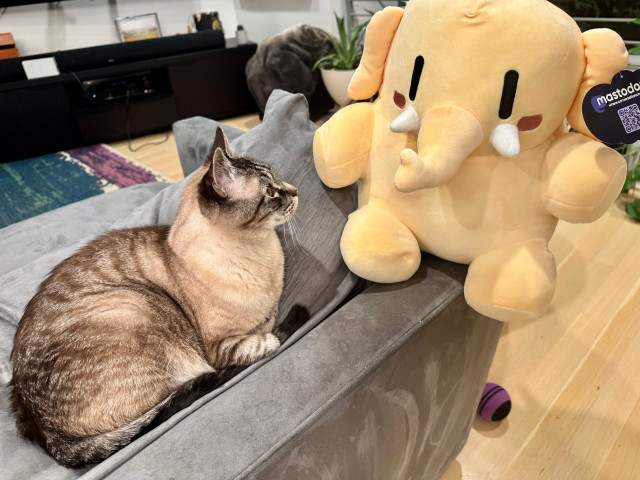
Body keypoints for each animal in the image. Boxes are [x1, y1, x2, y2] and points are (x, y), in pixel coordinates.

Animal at [10, 127, 298, 468]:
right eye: (270, 191)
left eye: (278, 181)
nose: (295, 191)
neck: (261, 253)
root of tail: (46, 436)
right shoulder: (220, 348)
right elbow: (266, 337)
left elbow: (270, 316)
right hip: (134, 306)